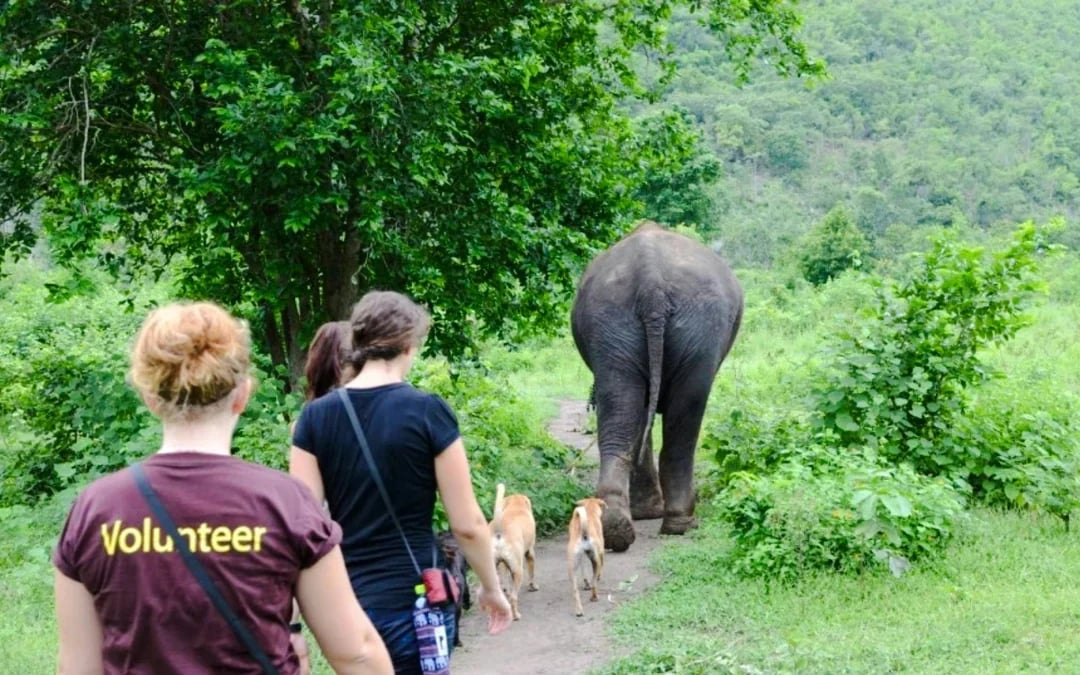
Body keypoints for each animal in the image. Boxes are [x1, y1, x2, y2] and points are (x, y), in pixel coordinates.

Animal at [570, 221, 743, 552]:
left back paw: (616, 528)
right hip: (693, 325)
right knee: (682, 418)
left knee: (623, 408)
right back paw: (680, 523)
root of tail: (651, 282)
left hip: (616, 323)